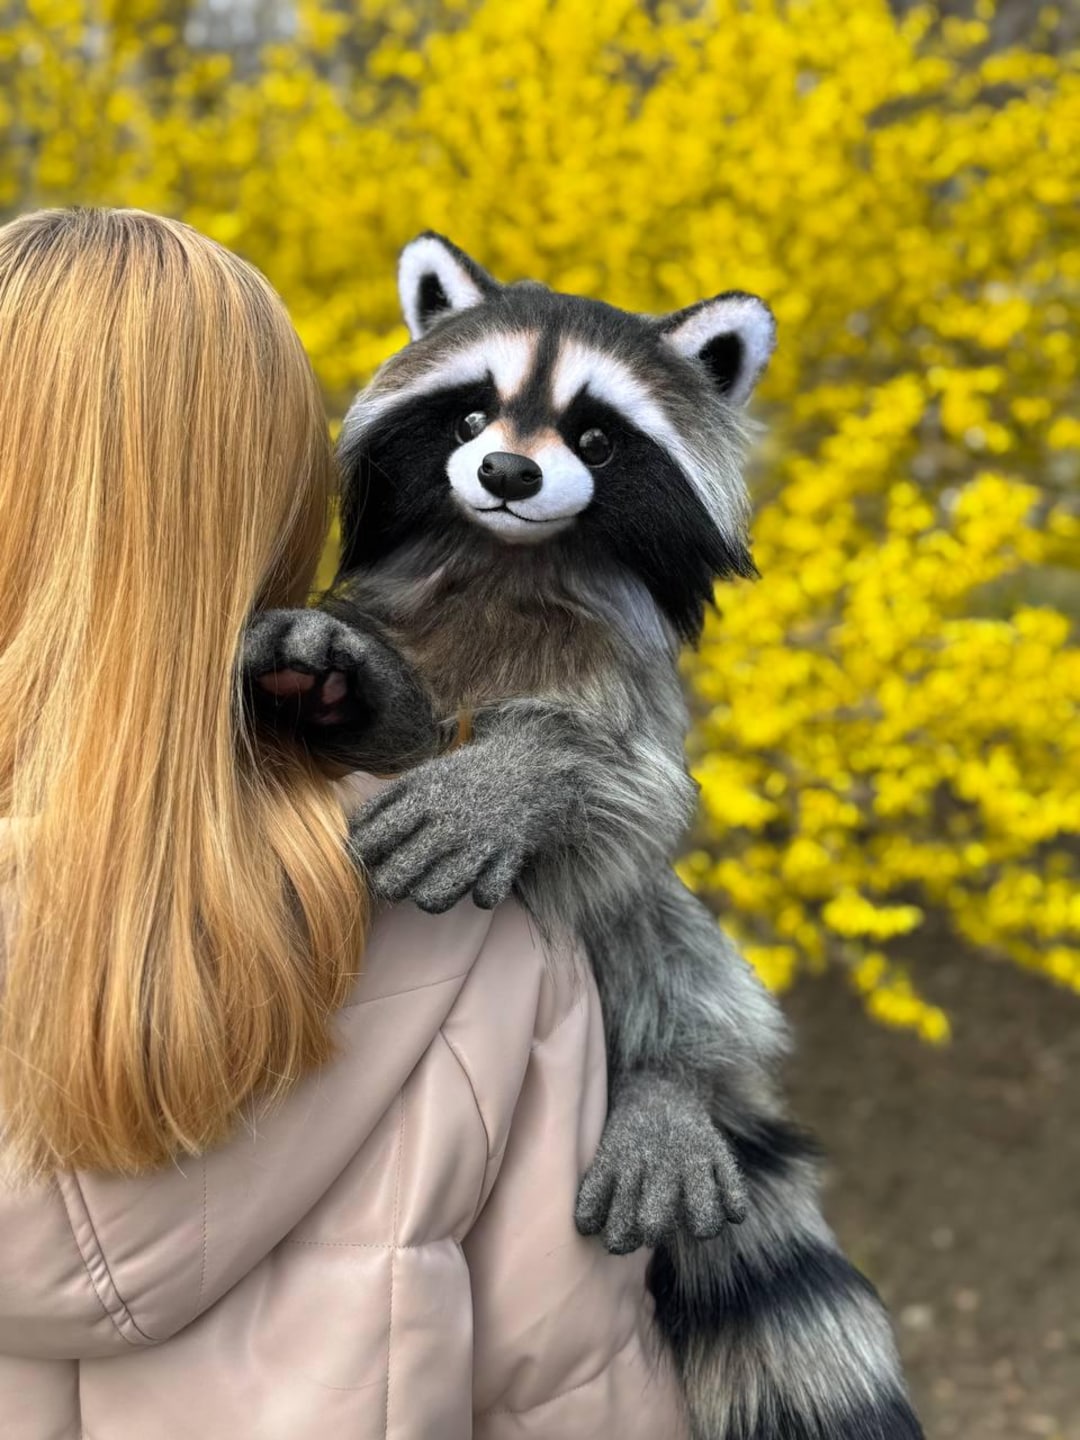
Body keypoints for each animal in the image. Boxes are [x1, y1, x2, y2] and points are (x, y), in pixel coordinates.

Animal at [246, 235, 922, 1440]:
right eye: (473, 415)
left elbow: (626, 786)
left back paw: (677, 1075)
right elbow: (401, 718)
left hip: (634, 940)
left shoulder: (626, 676)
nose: (509, 478)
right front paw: (349, 683)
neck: (509, 555)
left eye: (594, 435)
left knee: (658, 924)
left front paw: (516, 777)